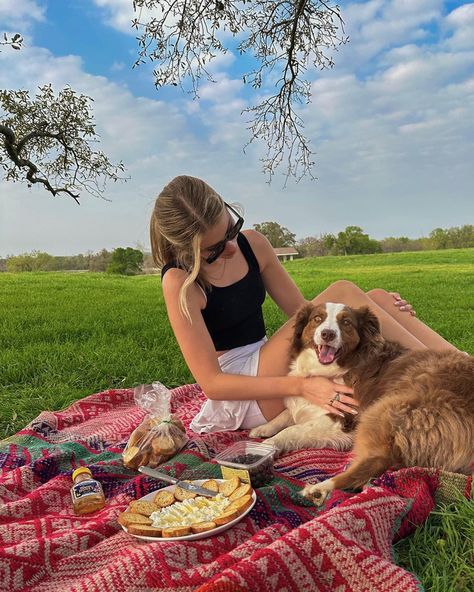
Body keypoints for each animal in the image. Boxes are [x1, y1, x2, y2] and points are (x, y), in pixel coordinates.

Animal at [250, 300, 472, 504]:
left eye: (346, 322)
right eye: (317, 318)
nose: (328, 334)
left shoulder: (342, 418)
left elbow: (292, 430)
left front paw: (267, 447)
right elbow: (287, 414)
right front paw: (263, 428)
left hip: (385, 409)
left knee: (376, 461)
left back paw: (321, 488)